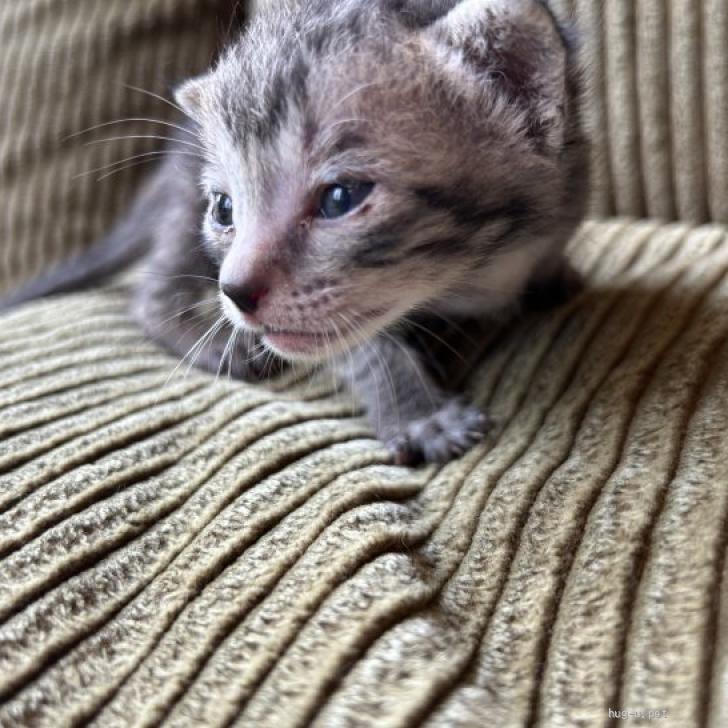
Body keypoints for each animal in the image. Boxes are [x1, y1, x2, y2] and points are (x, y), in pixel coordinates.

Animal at [0, 0, 589, 464]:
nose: (235, 292)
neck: (480, 270)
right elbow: (366, 345)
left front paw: (554, 275)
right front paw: (419, 414)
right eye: (225, 209)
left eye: (340, 198)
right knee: (151, 290)